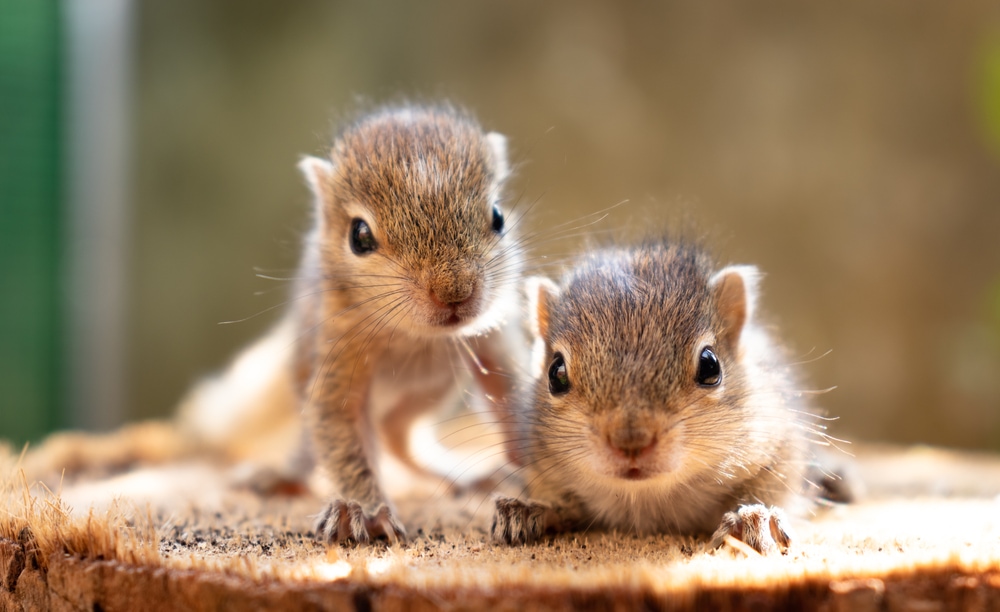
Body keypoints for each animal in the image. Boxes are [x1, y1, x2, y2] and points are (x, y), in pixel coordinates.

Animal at [490, 239, 839, 555]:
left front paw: (755, 518)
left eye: (710, 365)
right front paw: (527, 510)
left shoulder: (780, 449)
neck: (644, 497)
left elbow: (772, 491)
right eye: (556, 373)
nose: (631, 442)